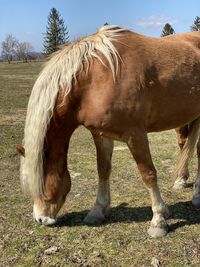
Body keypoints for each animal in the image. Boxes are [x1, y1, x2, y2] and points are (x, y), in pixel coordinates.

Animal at [15, 25, 200, 239]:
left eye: (40, 184)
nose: (40, 219)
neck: (96, 78)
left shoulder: (135, 134)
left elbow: (148, 173)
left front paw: (158, 220)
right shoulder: (101, 135)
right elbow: (103, 169)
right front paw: (97, 210)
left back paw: (197, 195)